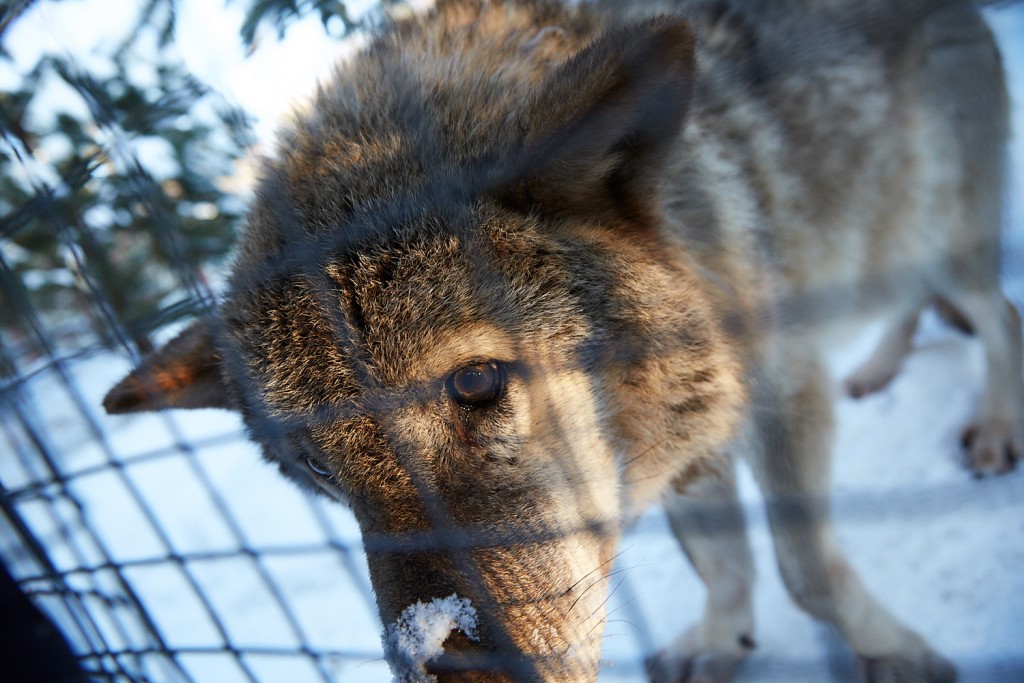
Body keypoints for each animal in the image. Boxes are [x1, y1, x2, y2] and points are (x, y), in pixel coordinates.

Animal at [99, 0, 1019, 679]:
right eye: (317, 467)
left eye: (475, 383)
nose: (450, 665)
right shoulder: (693, 435)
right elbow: (720, 562)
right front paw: (723, 637)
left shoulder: (773, 393)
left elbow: (808, 572)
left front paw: (893, 655)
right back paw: (878, 368)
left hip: (940, 232)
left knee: (996, 314)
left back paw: (994, 423)